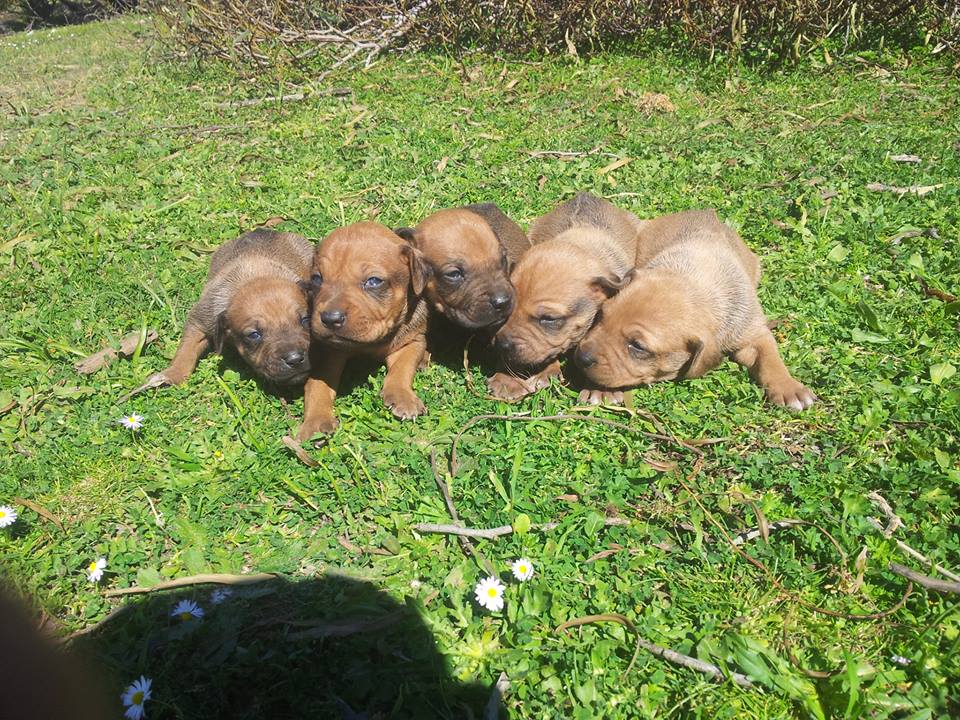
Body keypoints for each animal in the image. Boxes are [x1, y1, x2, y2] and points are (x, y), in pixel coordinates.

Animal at [142, 229, 312, 388]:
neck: (255, 277)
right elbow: (186, 350)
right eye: (254, 335)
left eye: (305, 320)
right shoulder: (200, 320)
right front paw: (173, 374)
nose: (295, 359)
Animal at [296, 222, 432, 442]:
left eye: (373, 281)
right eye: (317, 279)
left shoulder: (412, 341)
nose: (330, 318)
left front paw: (402, 396)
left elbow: (402, 367)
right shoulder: (328, 351)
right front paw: (315, 422)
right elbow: (318, 386)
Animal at [488, 193, 644, 400]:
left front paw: (600, 389)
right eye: (508, 308)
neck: (578, 244)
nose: (502, 345)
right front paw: (508, 378)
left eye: (548, 319)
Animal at [572, 210, 812, 410]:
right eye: (601, 315)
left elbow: (770, 358)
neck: (694, 279)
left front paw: (789, 388)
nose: (581, 357)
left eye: (638, 346)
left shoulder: (751, 329)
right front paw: (598, 389)